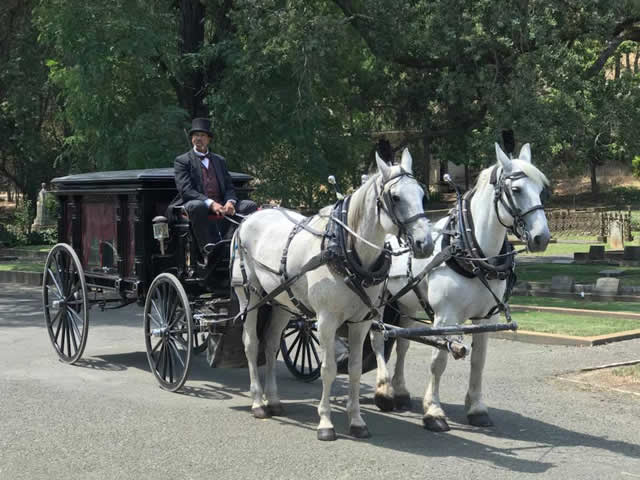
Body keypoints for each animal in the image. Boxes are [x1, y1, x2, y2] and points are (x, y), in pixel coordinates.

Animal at [230, 148, 436, 440]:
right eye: (395, 197)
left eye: (421, 194)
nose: (425, 244)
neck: (345, 250)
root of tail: (247, 220)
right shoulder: (326, 321)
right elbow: (328, 369)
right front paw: (326, 422)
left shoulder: (360, 322)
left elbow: (355, 370)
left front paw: (357, 421)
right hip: (250, 296)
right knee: (251, 344)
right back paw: (258, 402)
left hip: (281, 302)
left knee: (270, 345)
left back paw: (274, 401)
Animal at [370, 142, 552, 432]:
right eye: (516, 190)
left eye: (541, 189)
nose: (541, 237)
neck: (469, 250)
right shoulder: (446, 317)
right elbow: (439, 361)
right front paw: (433, 411)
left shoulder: (486, 318)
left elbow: (478, 362)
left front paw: (477, 409)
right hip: (378, 303)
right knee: (378, 337)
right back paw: (384, 391)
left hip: (405, 305)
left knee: (402, 342)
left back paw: (400, 391)